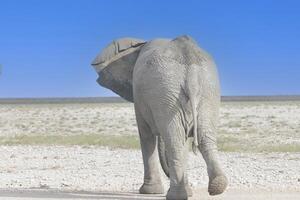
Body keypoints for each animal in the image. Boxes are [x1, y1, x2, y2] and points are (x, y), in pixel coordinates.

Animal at [91, 36, 227, 200]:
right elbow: (183, 141)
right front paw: (187, 192)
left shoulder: (140, 97)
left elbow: (146, 135)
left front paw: (150, 192)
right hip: (206, 90)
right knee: (202, 137)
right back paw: (217, 186)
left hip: (168, 90)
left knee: (174, 140)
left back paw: (176, 195)